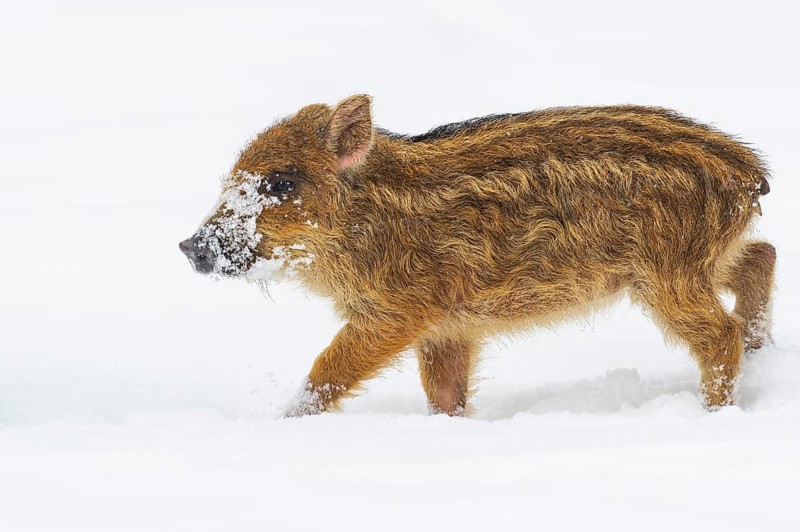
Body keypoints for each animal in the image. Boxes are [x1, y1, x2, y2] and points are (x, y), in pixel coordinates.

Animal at [179, 95, 775, 416]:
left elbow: (327, 372)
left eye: (282, 182)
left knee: (718, 335)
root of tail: (749, 175)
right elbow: (445, 394)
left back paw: (713, 410)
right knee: (762, 256)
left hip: (668, 273)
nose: (190, 248)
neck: (366, 222)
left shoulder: (400, 311)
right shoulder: (448, 327)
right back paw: (762, 351)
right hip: (703, 262)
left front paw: (285, 422)